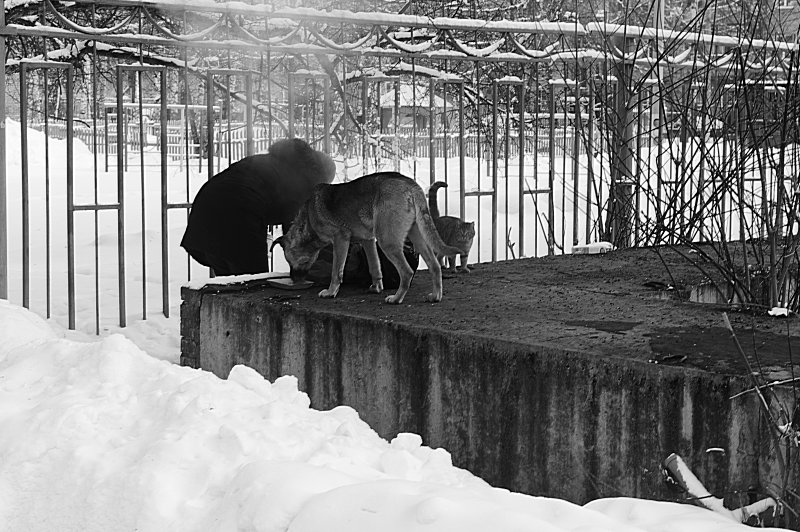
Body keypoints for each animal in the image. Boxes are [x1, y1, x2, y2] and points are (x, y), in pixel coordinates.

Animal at [274, 170, 462, 304]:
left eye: (289, 260)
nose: (293, 279)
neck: (309, 220)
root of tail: (411, 186)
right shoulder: (368, 241)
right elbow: (374, 266)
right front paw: (376, 287)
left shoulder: (341, 239)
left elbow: (336, 271)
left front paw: (331, 292)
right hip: (416, 236)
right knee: (435, 266)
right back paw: (435, 296)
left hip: (387, 240)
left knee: (407, 271)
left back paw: (396, 298)